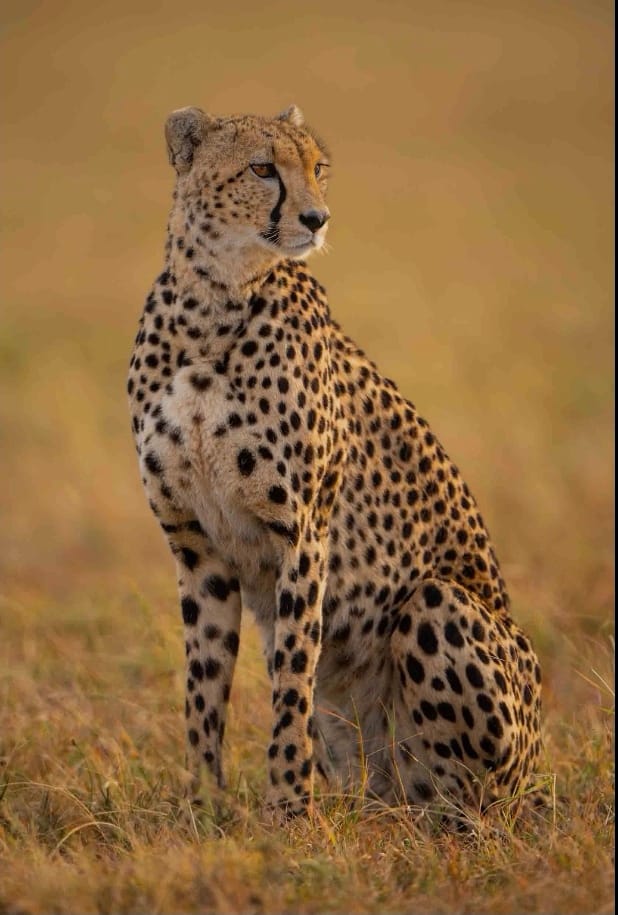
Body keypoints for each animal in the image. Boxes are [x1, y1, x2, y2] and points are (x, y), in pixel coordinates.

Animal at [127, 103, 545, 823]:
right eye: (262, 168)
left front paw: (289, 811)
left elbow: (292, 680)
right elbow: (203, 689)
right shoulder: (196, 546)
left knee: (469, 802)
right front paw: (201, 807)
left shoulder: (302, 531)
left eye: (318, 167)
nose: (317, 218)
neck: (213, 302)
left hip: (438, 607)